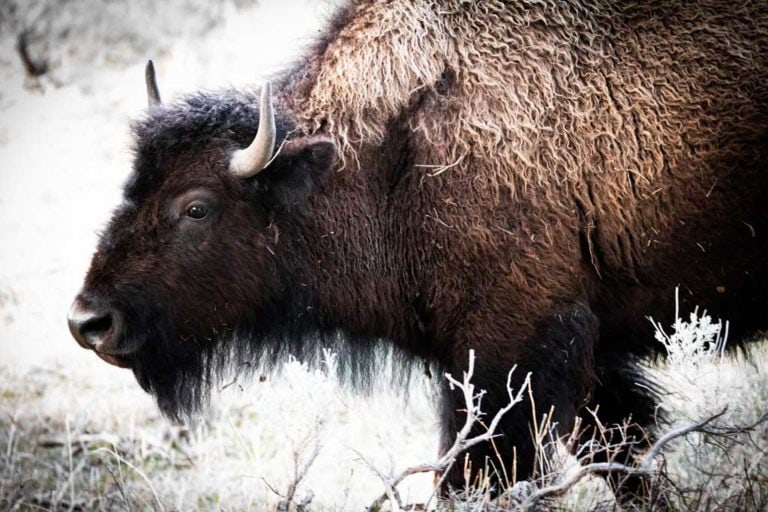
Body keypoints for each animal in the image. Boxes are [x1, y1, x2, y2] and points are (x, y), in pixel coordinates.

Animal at [67, 0, 768, 502]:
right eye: (132, 184)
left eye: (196, 206)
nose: (88, 321)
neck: (386, 159)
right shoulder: (589, 367)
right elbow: (626, 459)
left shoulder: (509, 359)